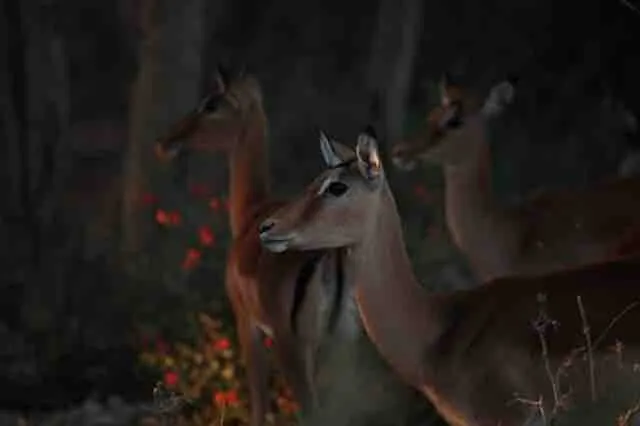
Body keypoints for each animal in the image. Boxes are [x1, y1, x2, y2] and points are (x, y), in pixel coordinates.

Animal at [154, 69, 432, 426]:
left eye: (210, 105)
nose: (167, 141)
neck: (251, 212)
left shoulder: (248, 325)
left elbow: (259, 405)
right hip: (342, 351)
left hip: (294, 349)